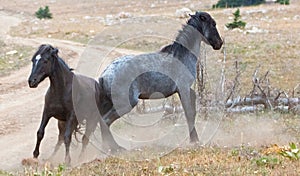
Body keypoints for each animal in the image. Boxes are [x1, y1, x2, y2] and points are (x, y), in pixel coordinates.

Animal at [96, 11, 223, 146]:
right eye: (213, 24)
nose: (219, 43)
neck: (182, 55)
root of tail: (105, 74)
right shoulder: (183, 89)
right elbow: (188, 113)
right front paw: (194, 140)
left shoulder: (187, 89)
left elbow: (192, 110)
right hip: (126, 103)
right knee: (106, 121)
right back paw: (115, 148)